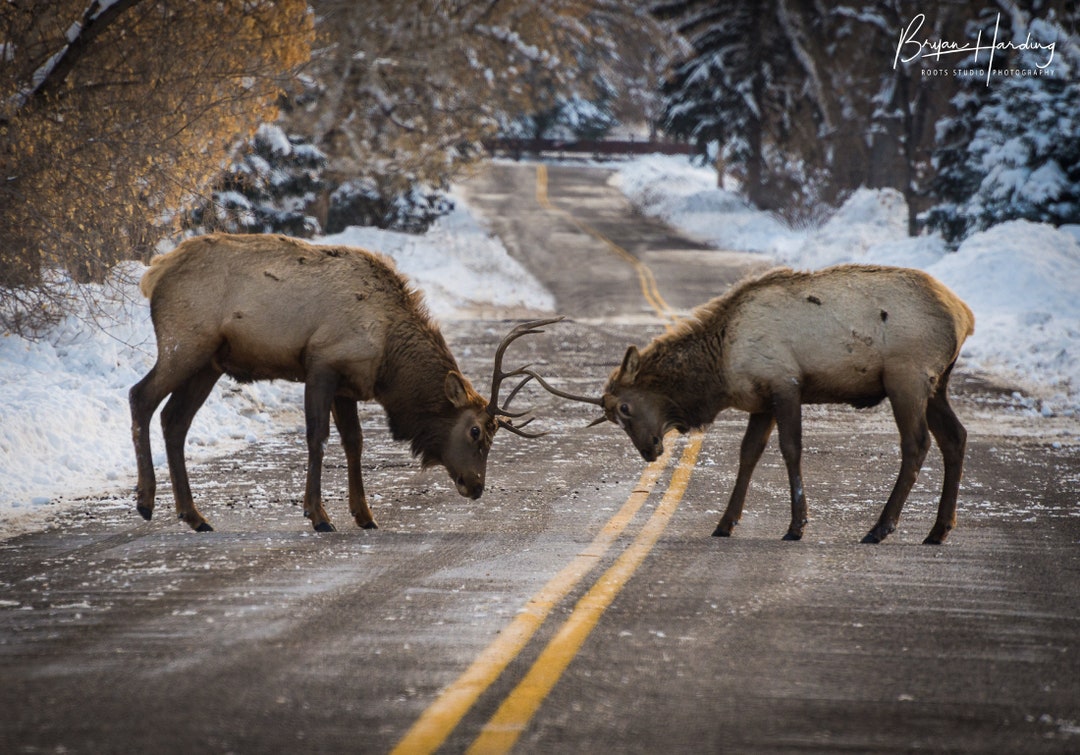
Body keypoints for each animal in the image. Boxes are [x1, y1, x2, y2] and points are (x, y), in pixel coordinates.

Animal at [129, 232, 560, 533]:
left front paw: (364, 514)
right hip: (184, 343)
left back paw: (194, 515)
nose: (476, 485)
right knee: (141, 396)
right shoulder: (322, 364)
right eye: (475, 431)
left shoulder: (348, 385)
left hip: (209, 363)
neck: (389, 358)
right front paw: (319, 515)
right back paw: (146, 501)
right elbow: (317, 437)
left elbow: (355, 443)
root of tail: (154, 274)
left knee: (174, 420)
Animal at [526, 264, 975, 545]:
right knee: (955, 437)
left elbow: (791, 450)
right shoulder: (761, 400)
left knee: (917, 444)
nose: (650, 450)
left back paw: (880, 528)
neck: (720, 366)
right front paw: (725, 523)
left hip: (906, 376)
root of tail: (965, 316)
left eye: (624, 409)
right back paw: (938, 530)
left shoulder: (785, 382)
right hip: (937, 384)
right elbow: (748, 454)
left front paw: (797, 525)